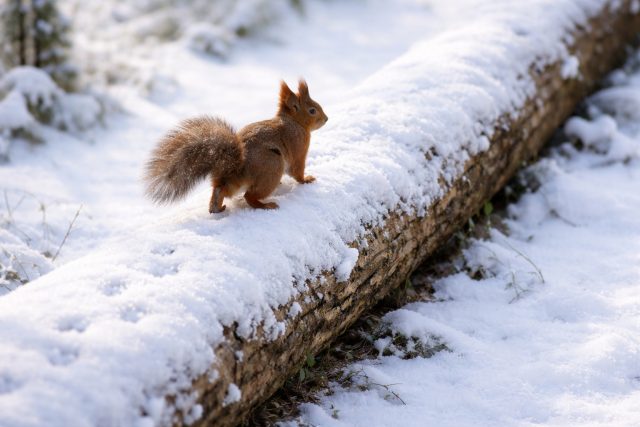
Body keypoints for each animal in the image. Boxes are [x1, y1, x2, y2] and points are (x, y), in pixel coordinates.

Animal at [144, 79, 328, 213]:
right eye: (312, 110)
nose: (326, 119)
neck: (295, 123)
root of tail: (234, 169)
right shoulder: (298, 147)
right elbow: (297, 171)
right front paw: (306, 180)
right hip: (272, 166)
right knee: (249, 196)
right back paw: (265, 205)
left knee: (221, 190)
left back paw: (216, 207)